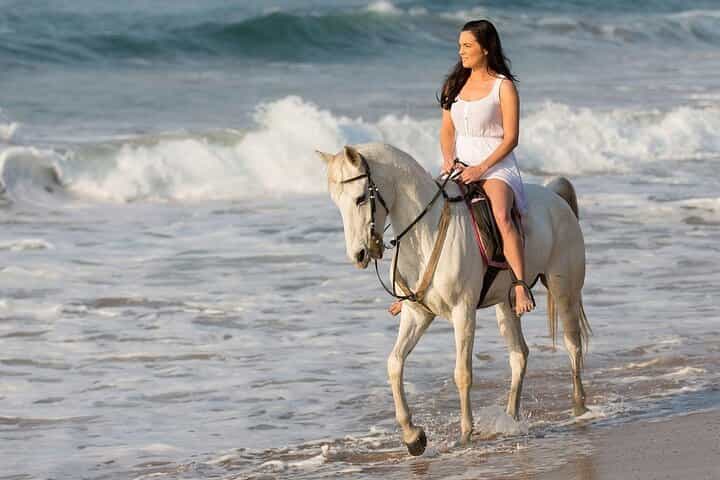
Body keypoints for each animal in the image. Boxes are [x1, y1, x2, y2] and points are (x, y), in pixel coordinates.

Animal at [316, 143, 591, 456]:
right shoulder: (417, 315)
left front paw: (465, 435)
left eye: (361, 198)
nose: (359, 255)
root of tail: (556, 198)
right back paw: (510, 418)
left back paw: (579, 409)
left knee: (572, 345)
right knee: (519, 355)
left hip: (564, 290)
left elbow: (462, 373)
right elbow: (394, 364)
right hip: (505, 304)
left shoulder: (463, 311)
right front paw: (413, 436)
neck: (426, 232)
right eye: (337, 202)